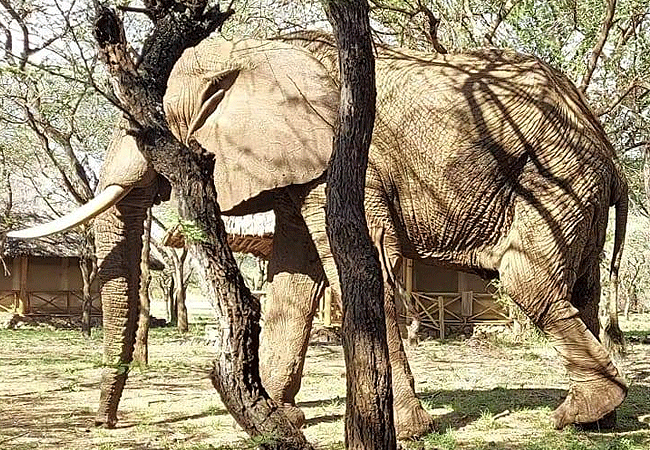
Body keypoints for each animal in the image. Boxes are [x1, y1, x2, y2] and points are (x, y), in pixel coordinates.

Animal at [8, 32, 628, 440]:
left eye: (143, 129)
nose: (101, 425)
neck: (245, 52)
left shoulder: (342, 165)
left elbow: (365, 275)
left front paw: (408, 431)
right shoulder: (294, 167)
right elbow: (294, 281)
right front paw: (280, 419)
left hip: (556, 171)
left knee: (525, 280)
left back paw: (577, 414)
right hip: (576, 180)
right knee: (581, 286)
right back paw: (602, 421)